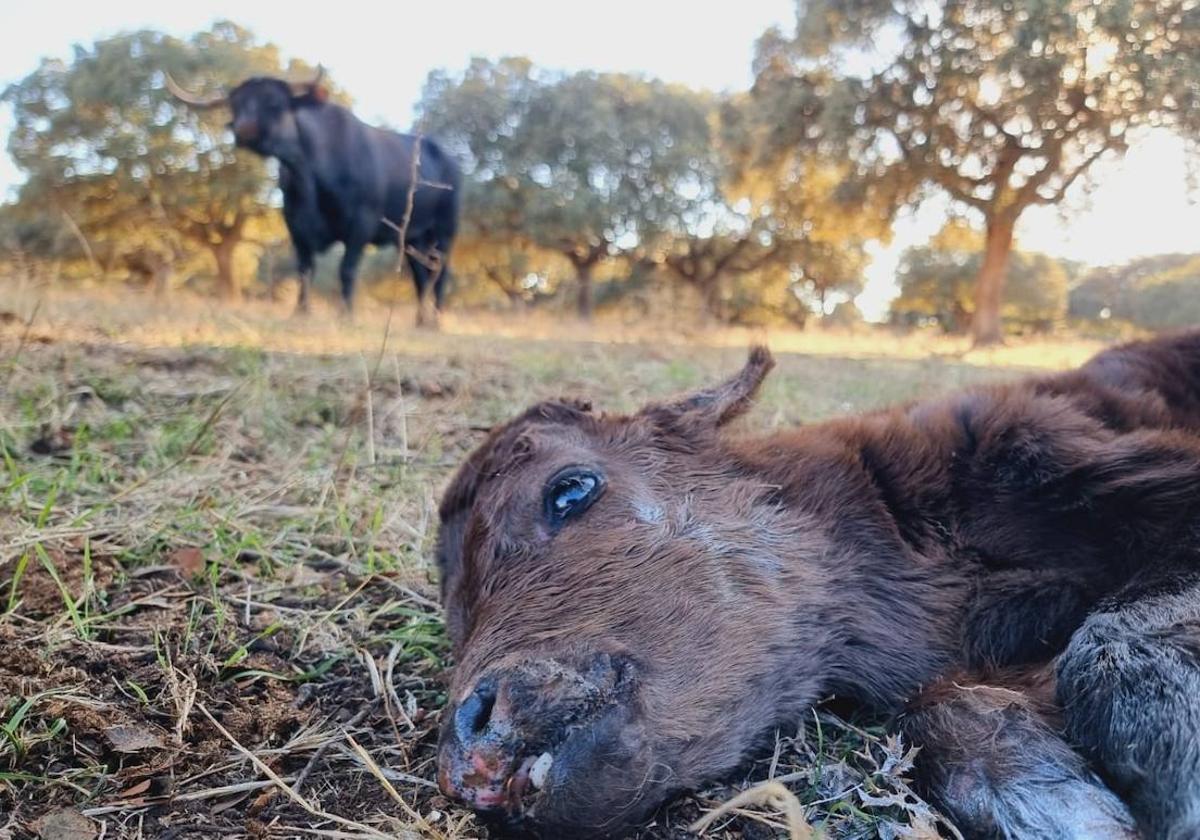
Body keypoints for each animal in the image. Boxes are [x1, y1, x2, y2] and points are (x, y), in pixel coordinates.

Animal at [171, 68, 460, 324]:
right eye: (237, 105)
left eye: (275, 103)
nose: (244, 130)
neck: (309, 177)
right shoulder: (296, 226)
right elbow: (305, 270)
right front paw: (301, 312)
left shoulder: (361, 225)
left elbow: (346, 270)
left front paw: (346, 315)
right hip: (413, 239)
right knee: (421, 277)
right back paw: (421, 320)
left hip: (444, 233)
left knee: (440, 274)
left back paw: (436, 319)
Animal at [436, 331, 1200, 835]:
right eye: (453, 614)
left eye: (570, 490)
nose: (470, 751)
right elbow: (936, 708)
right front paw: (1052, 797)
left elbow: (1117, 638)